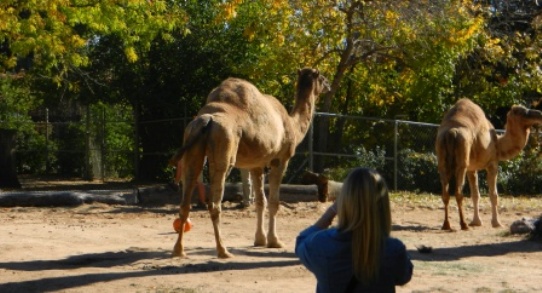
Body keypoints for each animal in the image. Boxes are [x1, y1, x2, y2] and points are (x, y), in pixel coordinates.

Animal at [170, 67, 332, 256]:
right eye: (322, 78)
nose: (329, 85)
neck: (292, 125)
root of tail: (206, 119)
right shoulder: (280, 159)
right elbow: (274, 202)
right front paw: (275, 242)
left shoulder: (256, 164)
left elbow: (261, 201)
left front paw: (260, 240)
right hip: (224, 148)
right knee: (214, 202)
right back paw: (223, 250)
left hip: (191, 143)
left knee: (185, 200)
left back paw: (179, 250)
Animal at [436, 98, 542, 230]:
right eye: (520, 112)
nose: (539, 113)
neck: (499, 144)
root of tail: (451, 132)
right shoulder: (492, 163)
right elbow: (493, 194)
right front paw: (496, 223)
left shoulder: (472, 168)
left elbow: (475, 194)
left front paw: (476, 222)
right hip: (462, 158)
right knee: (458, 191)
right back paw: (463, 224)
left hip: (442, 157)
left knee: (445, 192)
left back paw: (446, 225)